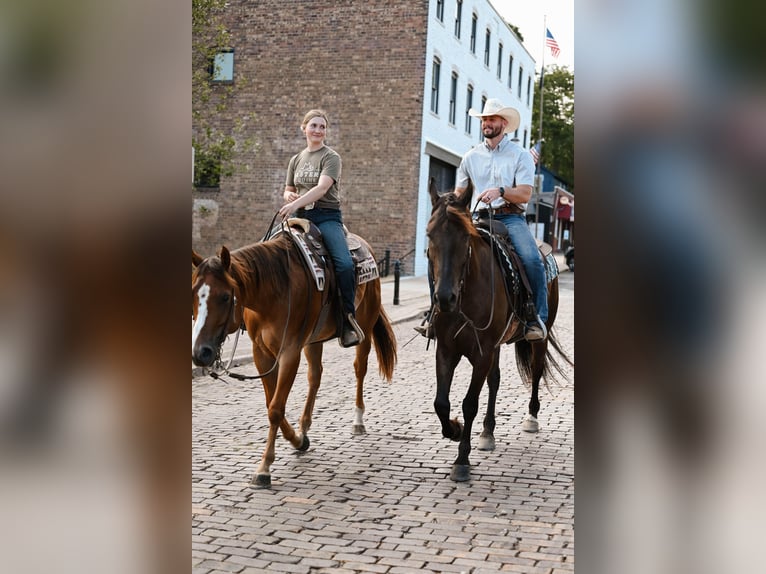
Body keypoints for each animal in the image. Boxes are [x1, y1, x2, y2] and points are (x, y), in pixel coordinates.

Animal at [192, 227, 400, 488]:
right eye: (194, 295)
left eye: (224, 297)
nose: (200, 352)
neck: (272, 291)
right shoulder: (261, 353)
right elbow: (272, 404)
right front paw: (298, 440)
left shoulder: (289, 352)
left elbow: (275, 409)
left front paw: (264, 467)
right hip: (313, 341)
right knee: (315, 377)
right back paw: (305, 427)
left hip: (365, 325)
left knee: (359, 369)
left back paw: (358, 420)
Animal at [428, 179, 572, 482]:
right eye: (429, 235)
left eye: (465, 237)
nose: (444, 298)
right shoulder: (446, 350)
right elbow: (441, 403)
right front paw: (455, 430)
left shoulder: (481, 353)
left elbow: (469, 403)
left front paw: (462, 459)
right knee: (494, 380)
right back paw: (488, 432)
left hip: (537, 338)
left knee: (536, 371)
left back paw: (531, 418)